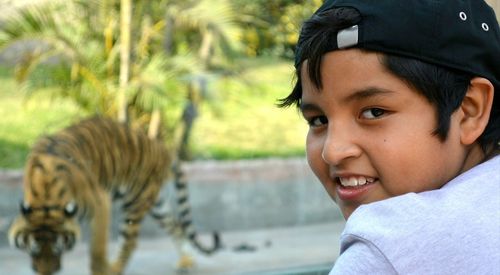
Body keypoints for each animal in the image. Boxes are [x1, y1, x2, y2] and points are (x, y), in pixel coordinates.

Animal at [6, 117, 220, 275]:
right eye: (33, 249)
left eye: (60, 249)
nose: (47, 273)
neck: (47, 198)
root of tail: (162, 149)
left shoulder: (100, 202)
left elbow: (97, 250)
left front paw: (102, 270)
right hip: (155, 203)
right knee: (176, 225)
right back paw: (186, 262)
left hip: (136, 201)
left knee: (130, 242)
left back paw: (116, 269)